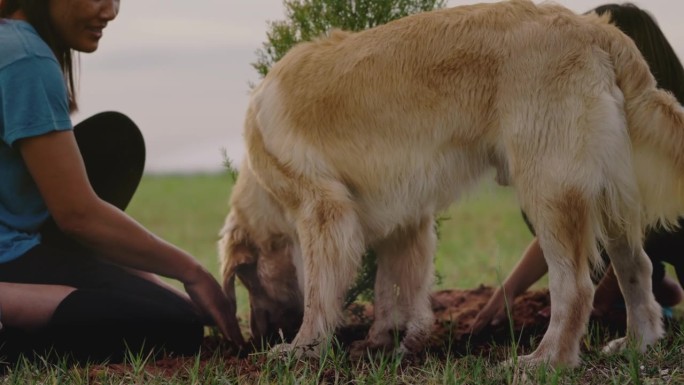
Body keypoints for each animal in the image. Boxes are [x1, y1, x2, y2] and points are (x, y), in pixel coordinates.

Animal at [218, 0, 684, 366]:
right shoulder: (406, 223)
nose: (254, 339)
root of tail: (596, 29)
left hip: (549, 191)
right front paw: (384, 340)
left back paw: (546, 360)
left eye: (248, 279)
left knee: (575, 288)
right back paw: (638, 343)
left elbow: (319, 294)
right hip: (610, 198)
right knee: (637, 268)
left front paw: (303, 348)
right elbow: (393, 288)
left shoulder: (324, 213)